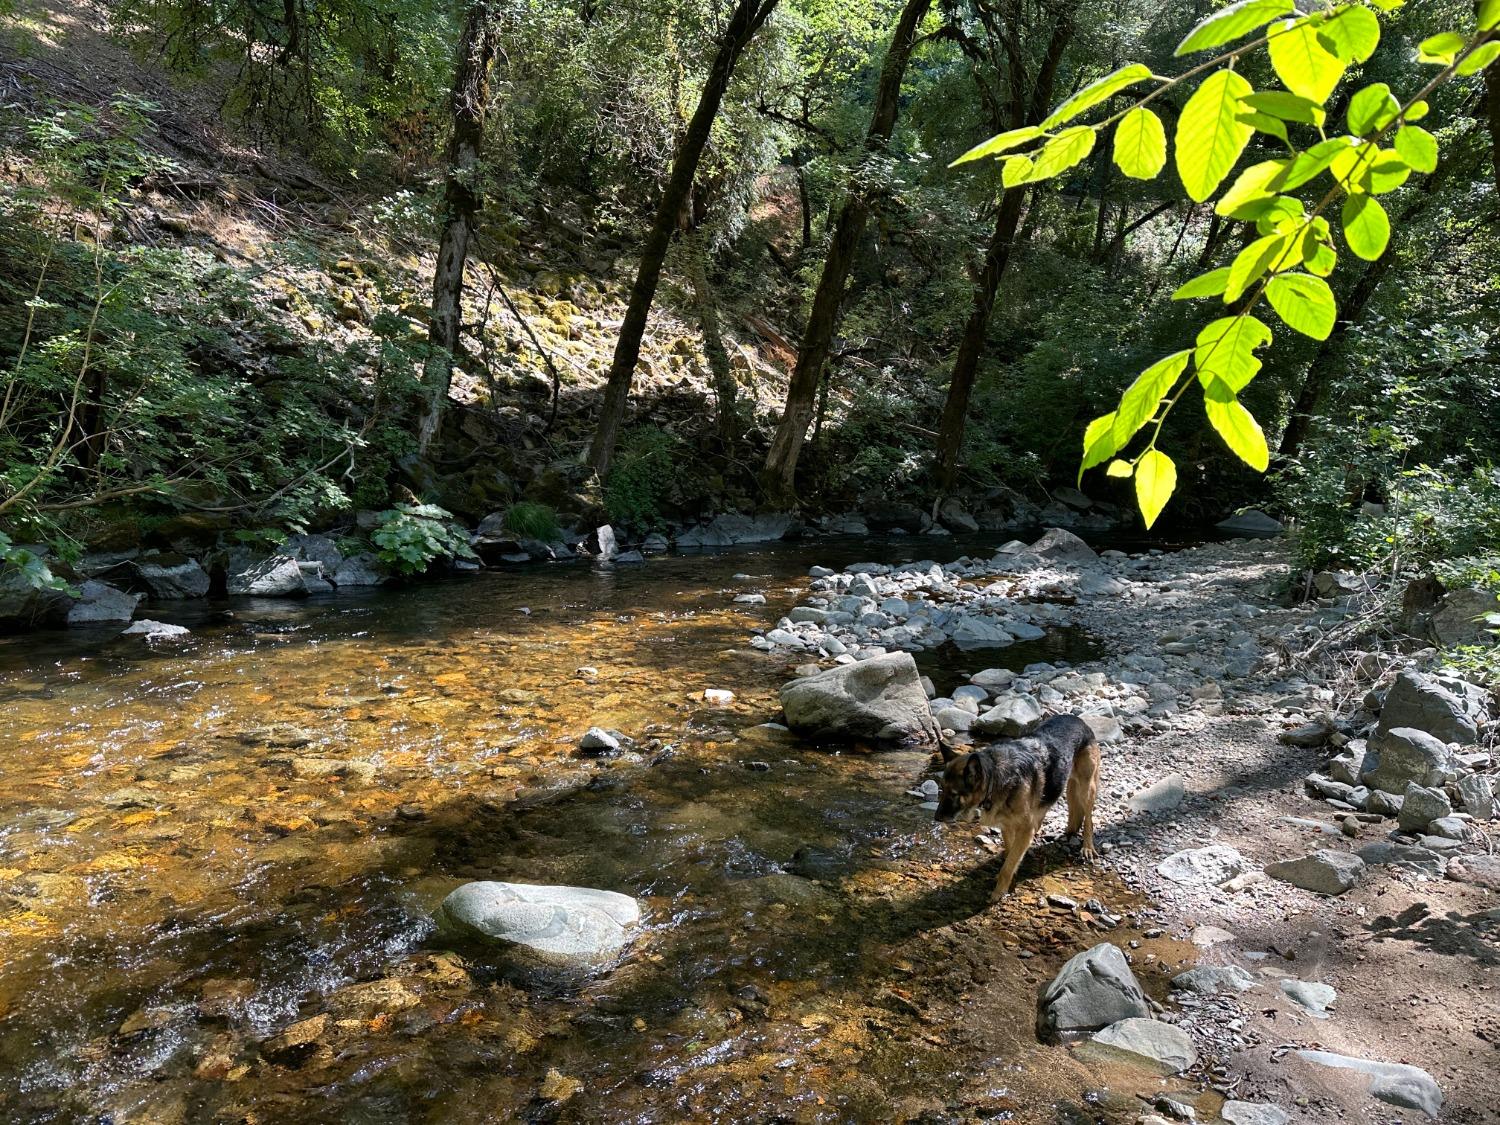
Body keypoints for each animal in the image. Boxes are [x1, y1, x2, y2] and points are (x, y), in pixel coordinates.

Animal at [930, 717, 1098, 906]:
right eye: (942, 789)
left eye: (954, 794)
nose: (936, 818)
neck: (994, 777)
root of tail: (1077, 719)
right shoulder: (1007, 827)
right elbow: (1011, 855)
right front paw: (1011, 878)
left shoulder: (1023, 829)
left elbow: (1008, 865)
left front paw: (999, 891)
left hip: (1086, 789)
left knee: (1089, 819)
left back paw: (1087, 847)